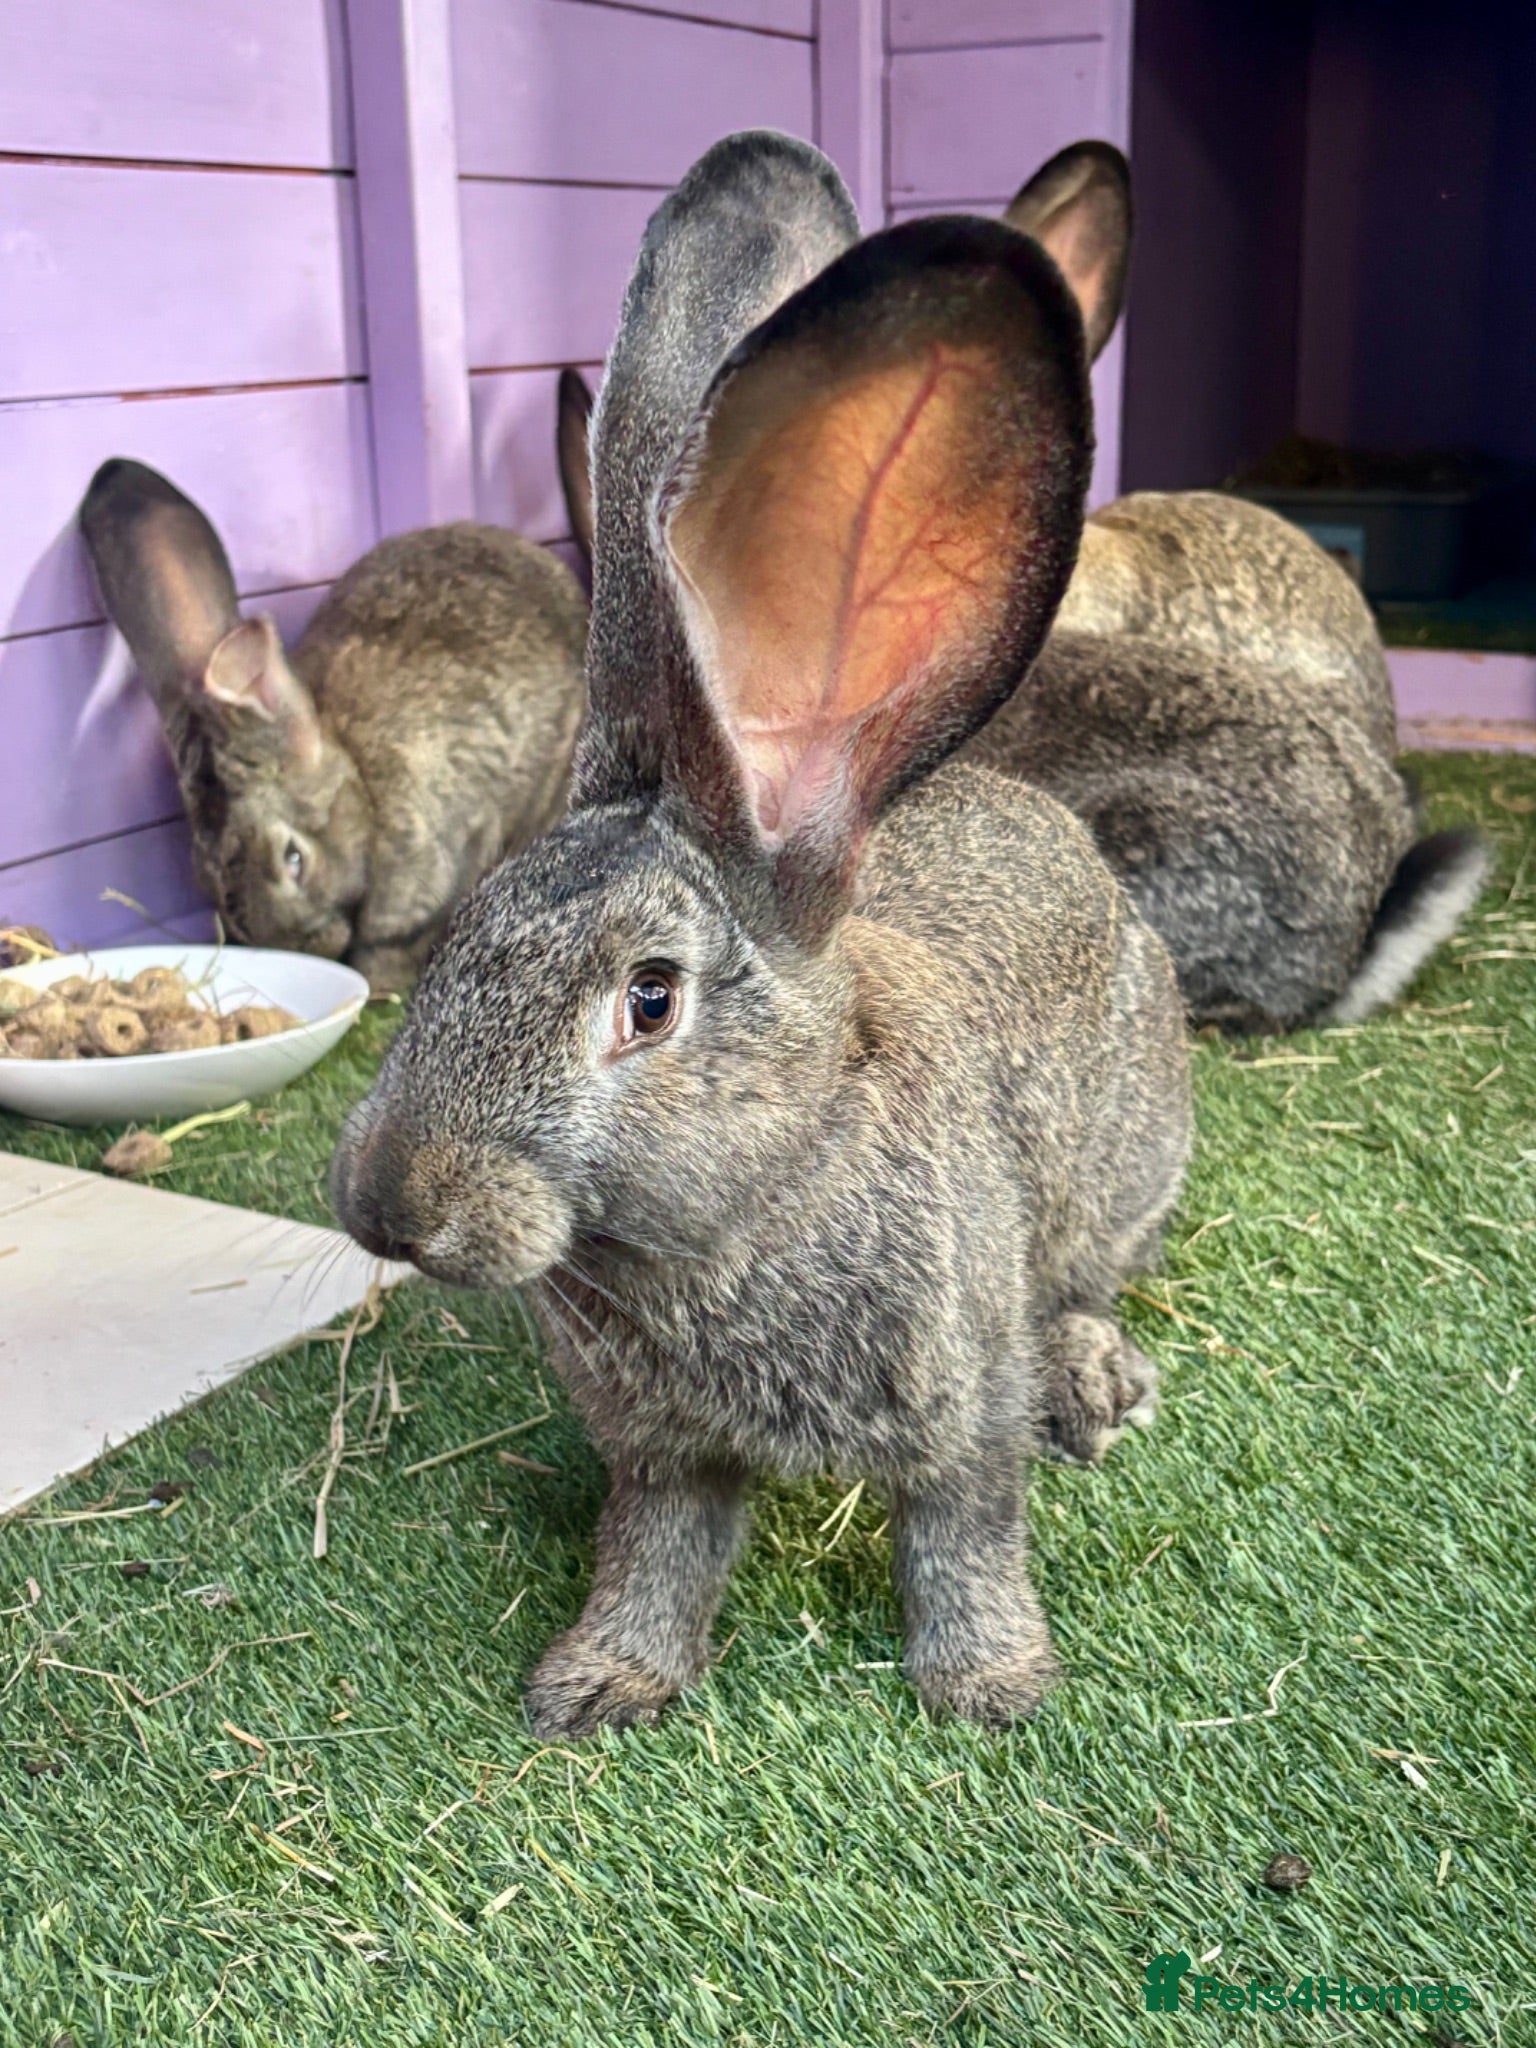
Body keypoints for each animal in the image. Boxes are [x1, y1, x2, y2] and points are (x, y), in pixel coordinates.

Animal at [330, 132, 1193, 1738]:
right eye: (458, 942)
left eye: (650, 1000)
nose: (388, 1207)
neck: (739, 1215)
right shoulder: (663, 1453)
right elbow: (658, 1549)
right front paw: (596, 1686)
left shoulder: (958, 1399)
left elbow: (963, 1530)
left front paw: (991, 1688)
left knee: (1090, 1277)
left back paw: (1096, 1377)